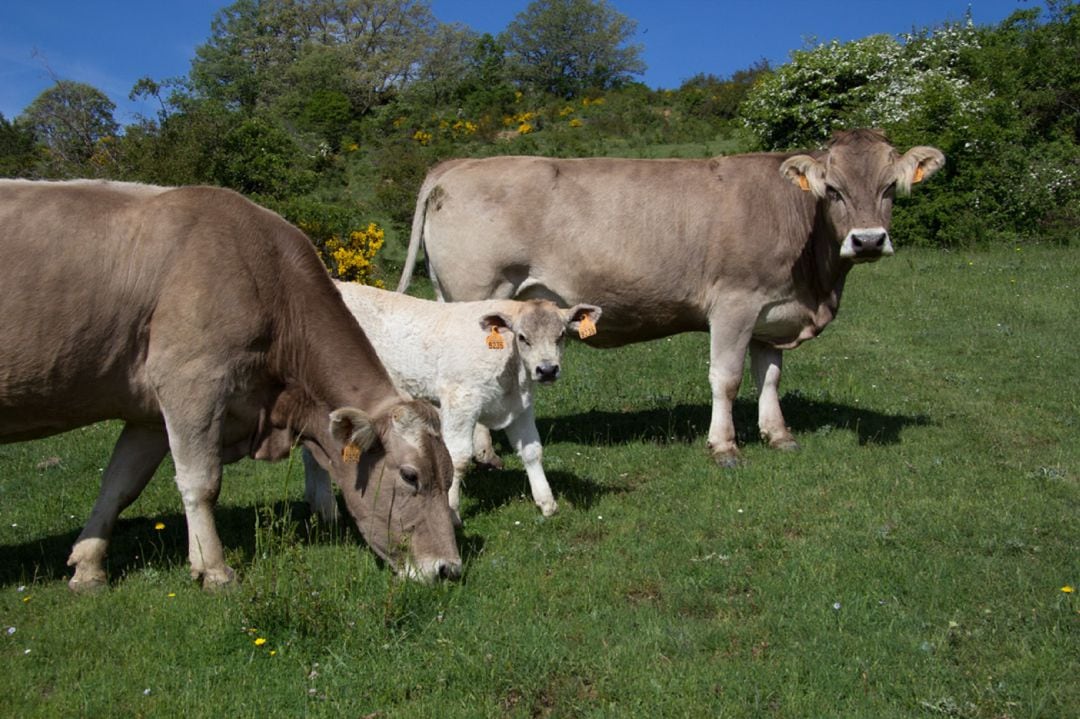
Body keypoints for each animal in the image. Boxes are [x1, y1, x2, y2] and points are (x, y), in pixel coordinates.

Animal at [0, 175, 460, 587]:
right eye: (410, 476)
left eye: (449, 475)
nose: (449, 569)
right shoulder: (191, 381)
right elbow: (201, 482)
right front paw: (214, 570)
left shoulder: (149, 414)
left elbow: (119, 485)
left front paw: (88, 567)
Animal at [308, 280, 604, 520]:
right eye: (523, 337)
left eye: (561, 335)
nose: (547, 370)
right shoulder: (461, 403)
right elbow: (458, 458)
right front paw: (452, 511)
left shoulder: (520, 406)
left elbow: (532, 451)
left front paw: (546, 502)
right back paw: (327, 508)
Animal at [399, 129, 946, 464]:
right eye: (832, 189)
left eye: (890, 188)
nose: (868, 240)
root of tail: (459, 164)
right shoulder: (734, 304)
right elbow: (726, 379)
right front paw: (724, 447)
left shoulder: (772, 313)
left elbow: (768, 378)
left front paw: (779, 435)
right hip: (480, 292)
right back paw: (485, 453)